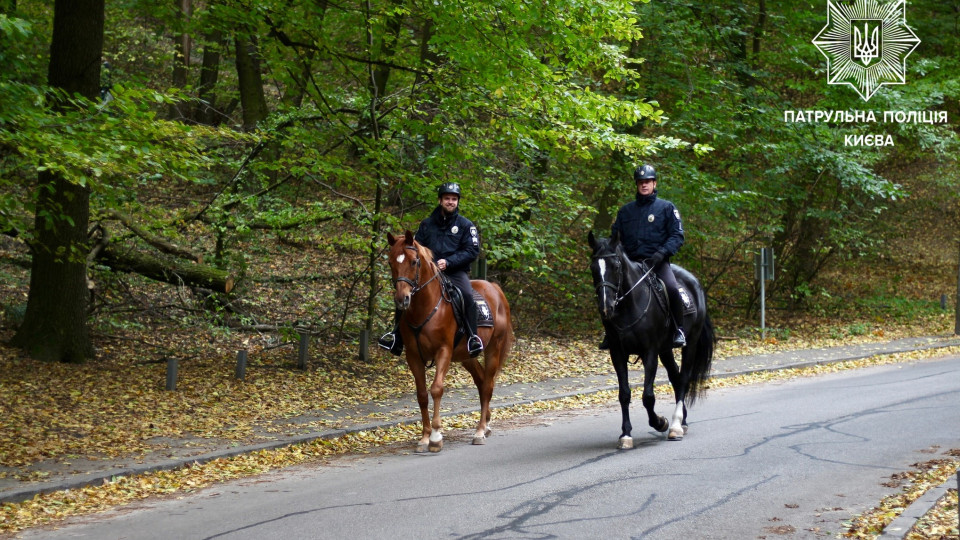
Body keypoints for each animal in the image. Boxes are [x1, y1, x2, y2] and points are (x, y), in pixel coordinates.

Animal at [386, 230, 512, 454]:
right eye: (391, 262)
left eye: (414, 261)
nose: (402, 299)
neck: (425, 307)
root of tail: (495, 287)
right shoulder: (413, 356)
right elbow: (422, 395)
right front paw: (424, 437)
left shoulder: (443, 351)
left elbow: (436, 389)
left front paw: (436, 437)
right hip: (466, 356)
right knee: (481, 381)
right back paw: (486, 424)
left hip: (493, 349)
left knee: (487, 385)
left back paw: (480, 431)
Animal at [584, 230, 712, 450]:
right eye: (593, 268)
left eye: (616, 266)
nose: (606, 307)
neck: (629, 304)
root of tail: (694, 282)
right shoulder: (617, 353)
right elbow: (624, 394)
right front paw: (625, 434)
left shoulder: (649, 352)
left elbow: (648, 396)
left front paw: (660, 422)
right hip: (666, 349)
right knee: (676, 377)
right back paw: (683, 421)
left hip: (690, 344)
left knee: (683, 379)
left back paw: (676, 425)